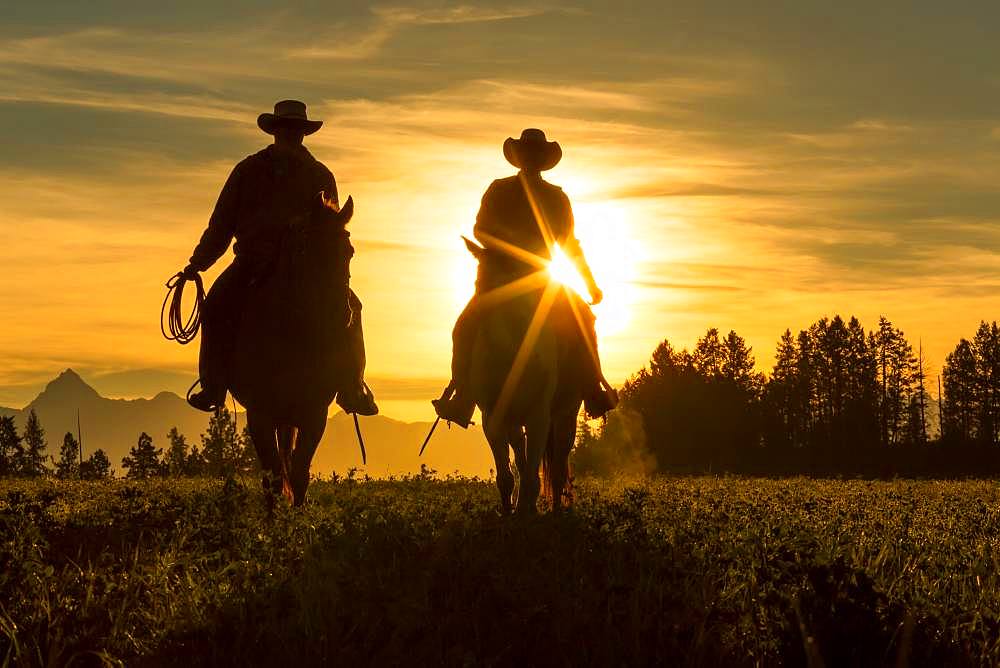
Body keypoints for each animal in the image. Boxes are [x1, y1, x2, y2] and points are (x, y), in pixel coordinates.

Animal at [462, 240, 584, 516]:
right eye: (477, 282)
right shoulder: (493, 418)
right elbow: (507, 475)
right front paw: (509, 512)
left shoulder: (539, 416)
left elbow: (532, 475)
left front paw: (528, 512)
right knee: (521, 457)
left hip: (566, 415)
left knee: (558, 465)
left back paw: (556, 510)